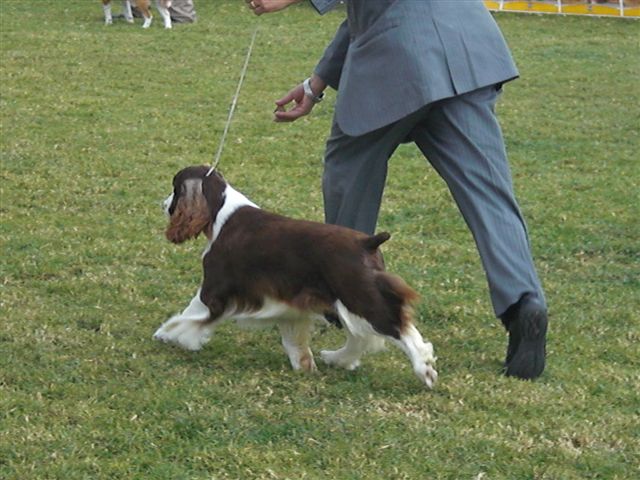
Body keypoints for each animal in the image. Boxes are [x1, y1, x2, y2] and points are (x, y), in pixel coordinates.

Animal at [153, 166, 438, 387]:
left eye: (175, 188)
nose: (164, 204)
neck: (222, 212)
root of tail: (368, 242)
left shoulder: (214, 286)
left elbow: (192, 314)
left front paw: (169, 334)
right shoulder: (288, 302)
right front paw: (304, 365)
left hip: (360, 296)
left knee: (398, 330)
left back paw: (424, 370)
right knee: (361, 337)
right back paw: (335, 358)